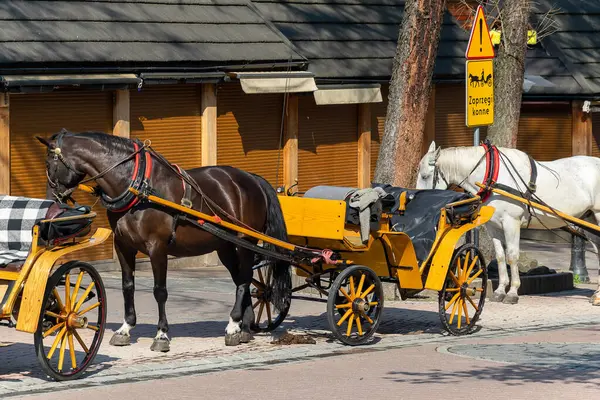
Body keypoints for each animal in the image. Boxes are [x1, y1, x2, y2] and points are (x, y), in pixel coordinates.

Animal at [36, 130, 292, 352]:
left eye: (49, 165)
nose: (52, 201)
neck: (137, 186)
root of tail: (252, 179)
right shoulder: (123, 246)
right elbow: (127, 286)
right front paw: (125, 328)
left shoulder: (157, 247)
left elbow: (160, 291)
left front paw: (161, 335)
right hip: (225, 246)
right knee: (241, 279)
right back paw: (243, 328)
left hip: (244, 241)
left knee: (244, 279)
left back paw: (234, 323)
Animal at [414, 141, 600, 304]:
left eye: (425, 176)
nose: (419, 201)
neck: (492, 175)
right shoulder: (493, 226)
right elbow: (501, 256)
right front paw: (500, 291)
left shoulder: (512, 223)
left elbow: (512, 255)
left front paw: (512, 292)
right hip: (589, 218)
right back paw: (597, 295)